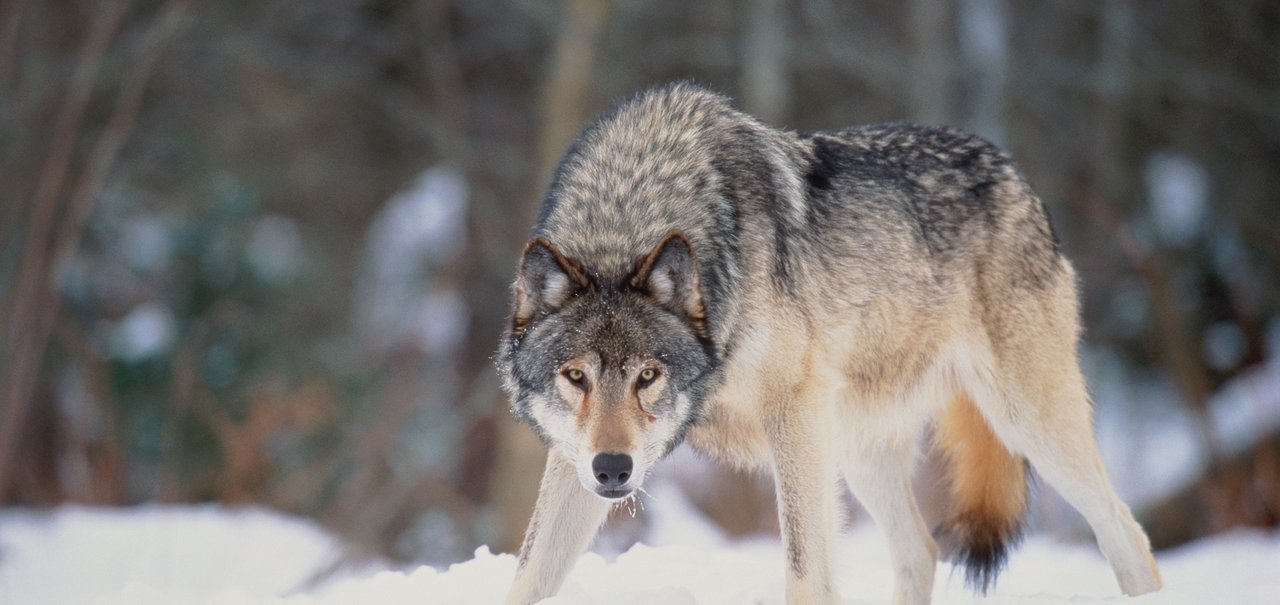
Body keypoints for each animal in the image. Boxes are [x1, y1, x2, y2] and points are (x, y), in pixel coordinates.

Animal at [494, 81, 1167, 603]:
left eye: (647, 376)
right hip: (859, 449)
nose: (614, 469)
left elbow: (804, 571)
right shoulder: (573, 457)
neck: (632, 210)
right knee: (921, 551)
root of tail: (1014, 170)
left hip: (1025, 422)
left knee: (1126, 531)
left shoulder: (793, 414)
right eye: (575, 377)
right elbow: (529, 574)